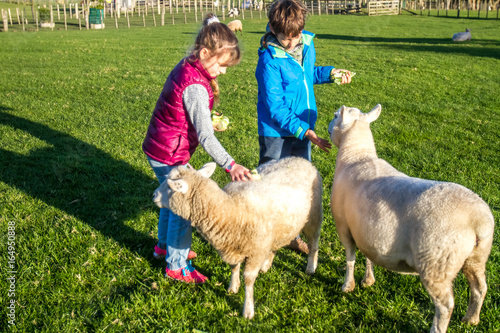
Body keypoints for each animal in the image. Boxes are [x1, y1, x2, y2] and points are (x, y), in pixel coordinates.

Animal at [153, 156, 324, 320]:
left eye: (169, 187)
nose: (153, 195)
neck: (231, 209)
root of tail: (301, 160)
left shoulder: (256, 251)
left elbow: (248, 279)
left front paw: (248, 310)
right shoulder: (233, 247)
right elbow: (234, 268)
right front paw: (233, 287)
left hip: (313, 216)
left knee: (314, 243)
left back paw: (311, 267)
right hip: (281, 228)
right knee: (276, 245)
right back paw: (266, 265)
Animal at [326, 104, 494, 332]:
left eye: (335, 116)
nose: (327, 127)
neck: (357, 156)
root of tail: (477, 219)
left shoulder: (344, 226)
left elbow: (350, 258)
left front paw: (347, 286)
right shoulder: (366, 230)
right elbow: (369, 256)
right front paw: (368, 280)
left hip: (436, 264)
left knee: (445, 305)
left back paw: (438, 328)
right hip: (476, 258)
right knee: (479, 287)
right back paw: (471, 319)